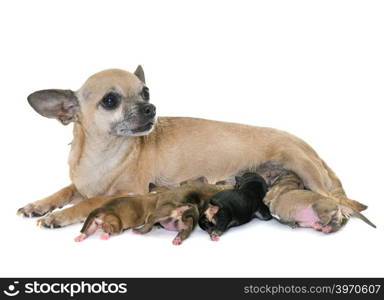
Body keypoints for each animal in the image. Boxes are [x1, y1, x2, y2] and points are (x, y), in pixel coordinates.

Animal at [17, 66, 366, 230]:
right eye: (110, 100)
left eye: (146, 92)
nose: (151, 108)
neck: (103, 154)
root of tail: (307, 145)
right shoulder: (79, 184)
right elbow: (65, 191)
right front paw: (39, 204)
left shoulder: (129, 191)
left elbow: (90, 202)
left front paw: (60, 216)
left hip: (306, 171)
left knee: (338, 200)